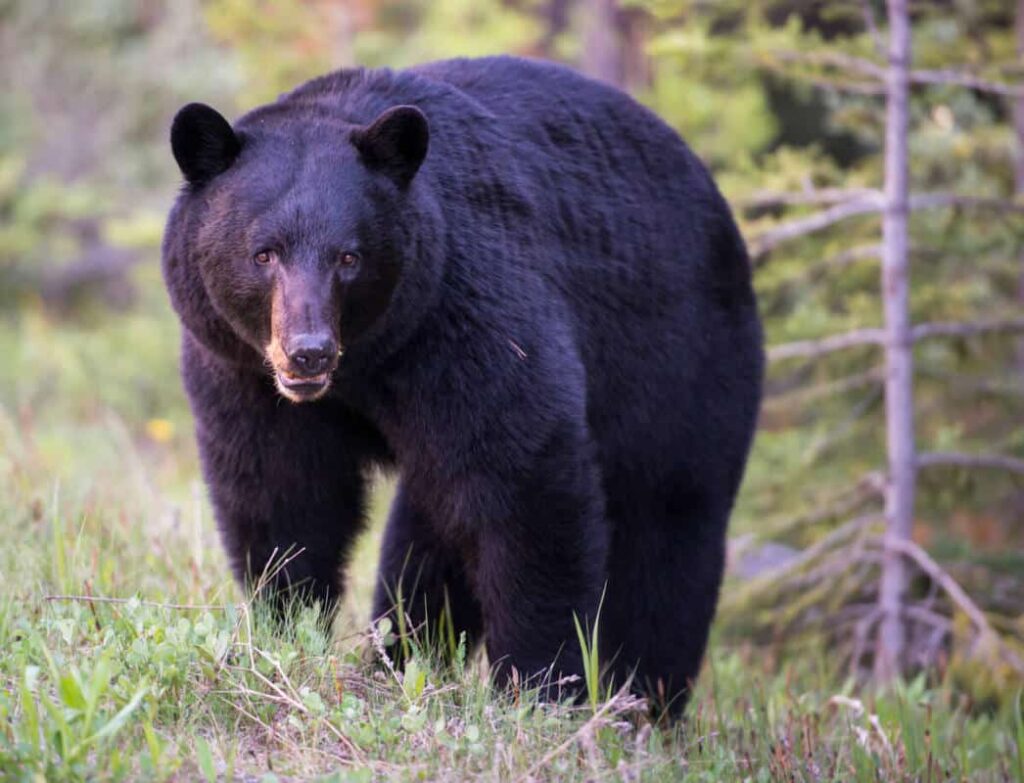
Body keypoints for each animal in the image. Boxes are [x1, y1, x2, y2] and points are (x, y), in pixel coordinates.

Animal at [161, 56, 761, 716]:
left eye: (349, 257)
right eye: (264, 253)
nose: (308, 351)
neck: (369, 362)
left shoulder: (466, 319)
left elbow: (525, 486)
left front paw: (538, 689)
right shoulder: (244, 373)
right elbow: (283, 495)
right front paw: (287, 627)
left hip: (681, 360)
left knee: (668, 525)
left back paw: (644, 701)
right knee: (429, 536)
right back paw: (402, 660)